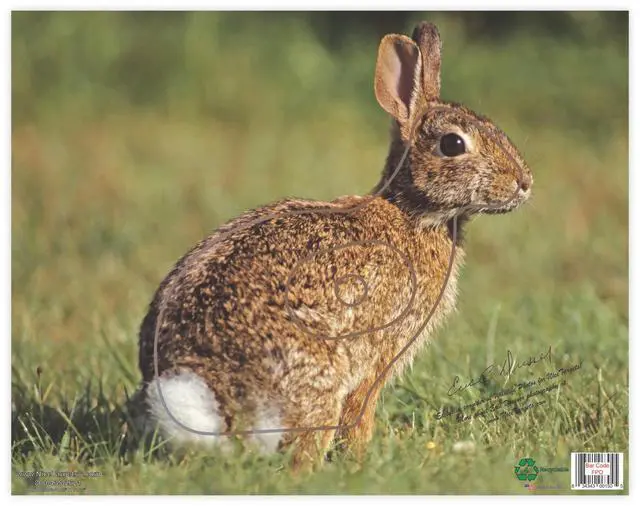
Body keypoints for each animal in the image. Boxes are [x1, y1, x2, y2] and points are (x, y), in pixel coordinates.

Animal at [134, 21, 533, 468]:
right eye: (453, 144)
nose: (524, 183)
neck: (412, 213)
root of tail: (209, 395)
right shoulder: (379, 353)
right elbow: (360, 412)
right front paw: (361, 460)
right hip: (318, 379)